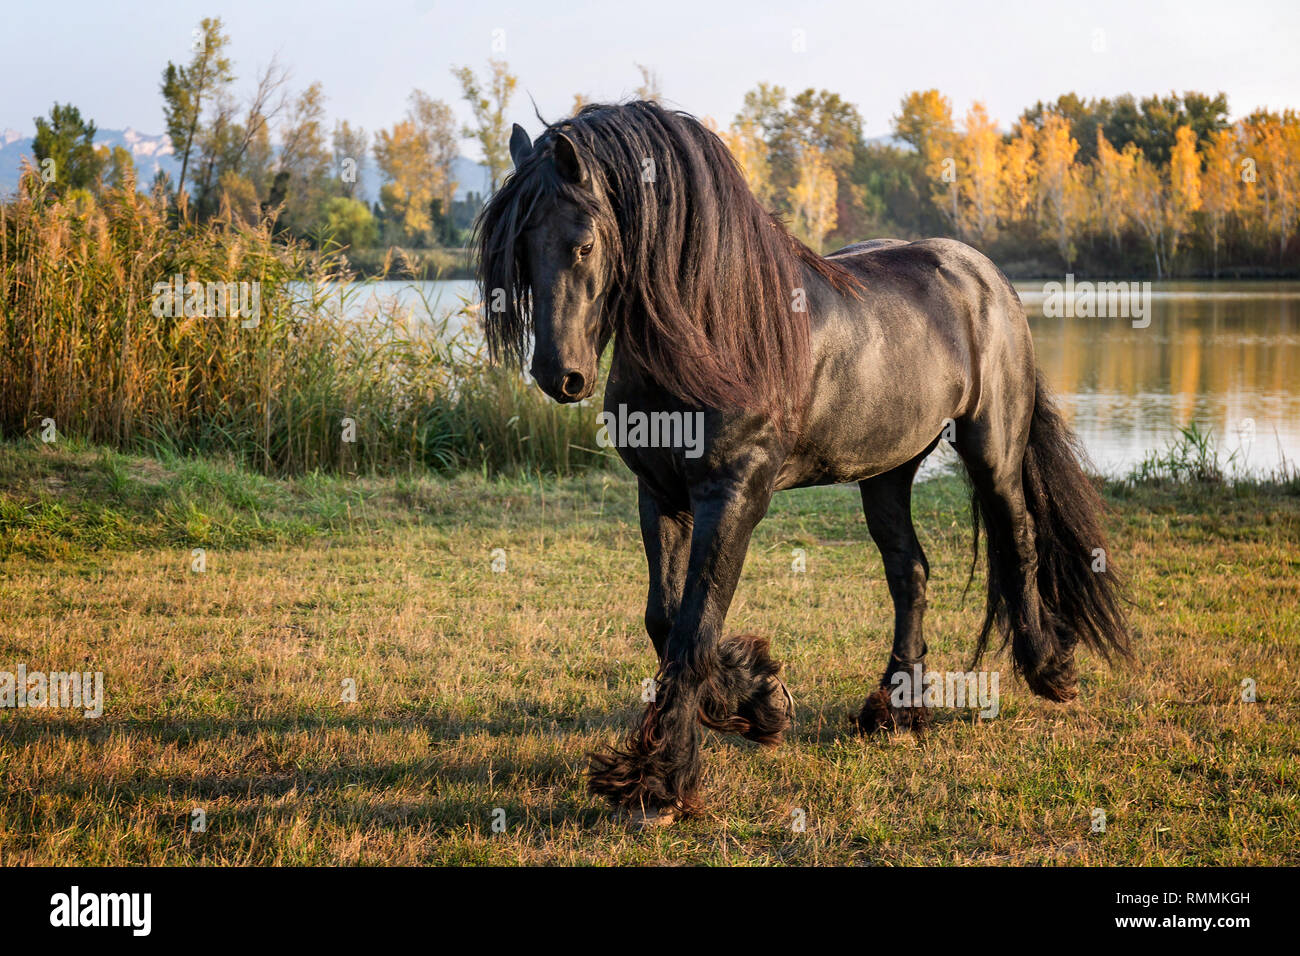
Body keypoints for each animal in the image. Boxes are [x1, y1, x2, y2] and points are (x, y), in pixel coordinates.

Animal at [476, 100, 1130, 825]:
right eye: (518, 252)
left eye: (584, 244)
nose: (559, 375)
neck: (715, 328)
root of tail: (986, 275)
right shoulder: (660, 494)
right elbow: (664, 619)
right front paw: (759, 700)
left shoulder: (735, 493)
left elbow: (694, 627)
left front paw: (662, 782)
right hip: (887, 472)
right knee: (911, 573)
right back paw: (895, 712)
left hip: (993, 448)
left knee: (1018, 543)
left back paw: (1051, 671)